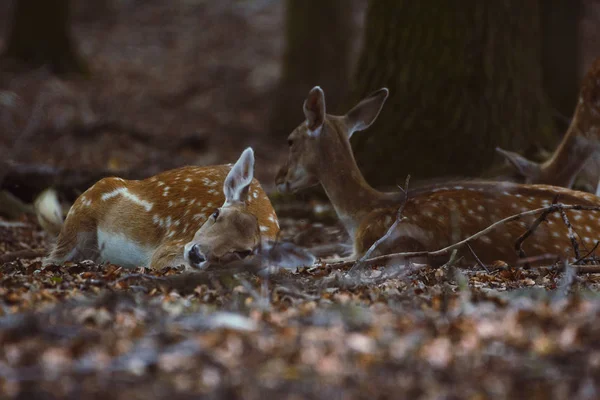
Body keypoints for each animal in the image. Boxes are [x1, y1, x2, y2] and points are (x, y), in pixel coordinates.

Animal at [42, 148, 282, 270]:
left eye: (244, 251)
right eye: (215, 214)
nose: (196, 253)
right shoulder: (172, 244)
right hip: (76, 221)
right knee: (49, 258)